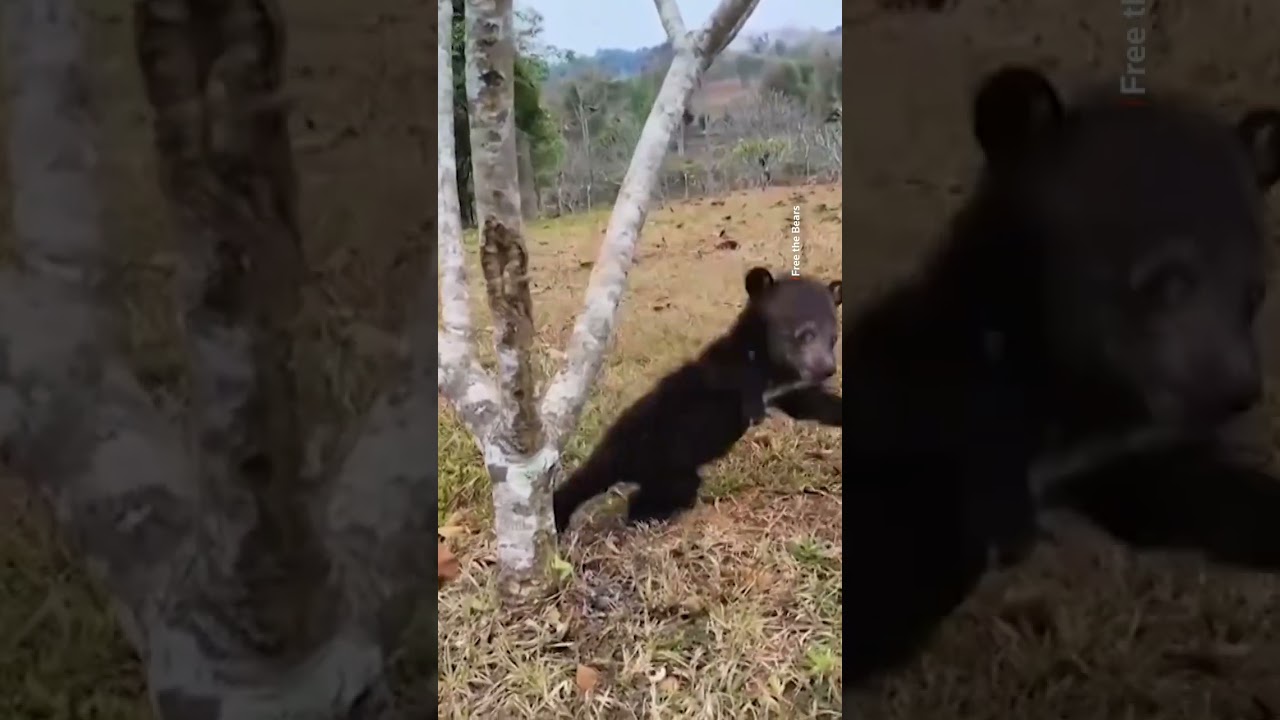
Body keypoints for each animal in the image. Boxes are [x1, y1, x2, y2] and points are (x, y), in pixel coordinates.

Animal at [553, 267, 843, 534]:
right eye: (805, 334)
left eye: (833, 338)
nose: (828, 369)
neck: (770, 365)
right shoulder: (727, 369)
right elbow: (739, 381)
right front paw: (754, 410)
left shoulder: (787, 391)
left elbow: (812, 404)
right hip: (640, 445)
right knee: (593, 479)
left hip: (672, 473)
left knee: (657, 494)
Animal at [842, 64, 1280, 687]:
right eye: (1166, 279)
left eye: (1254, 294)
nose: (1238, 392)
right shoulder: (931, 403)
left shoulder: (1122, 462)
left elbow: (1200, 496)